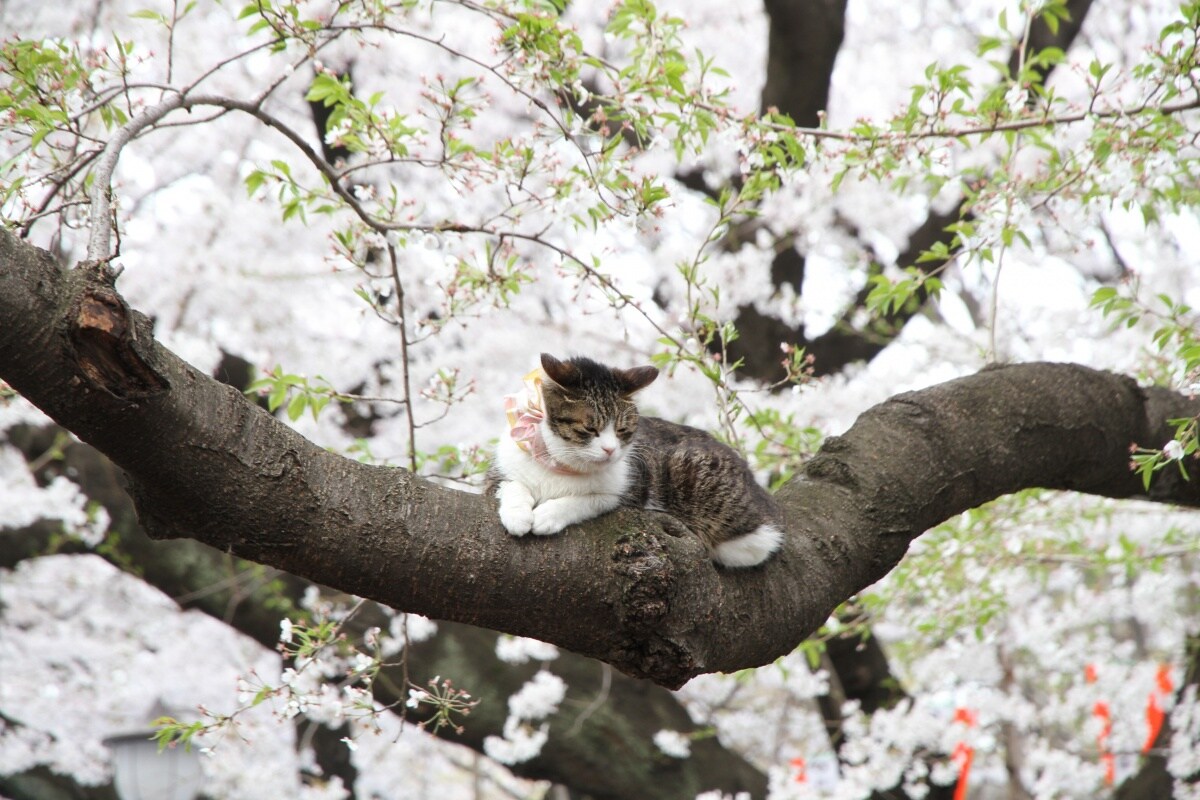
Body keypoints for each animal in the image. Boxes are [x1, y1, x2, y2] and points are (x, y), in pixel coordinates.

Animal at [482, 352, 782, 566]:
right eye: (590, 428)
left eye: (622, 430)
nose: (610, 450)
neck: (562, 466)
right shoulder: (498, 474)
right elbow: (512, 485)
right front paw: (517, 515)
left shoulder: (627, 491)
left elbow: (585, 499)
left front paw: (548, 515)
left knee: (759, 542)